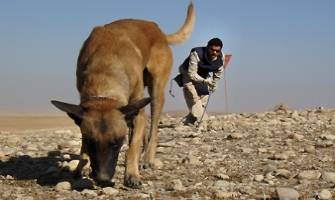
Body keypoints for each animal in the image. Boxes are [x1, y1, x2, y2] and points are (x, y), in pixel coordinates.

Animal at [51, 2, 196, 188]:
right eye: (91, 142)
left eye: (117, 143)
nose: (103, 180)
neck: (105, 73)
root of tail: (159, 31)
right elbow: (84, 149)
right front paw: (80, 167)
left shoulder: (137, 111)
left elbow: (132, 148)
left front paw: (132, 174)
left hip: (156, 93)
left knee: (153, 128)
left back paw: (147, 157)